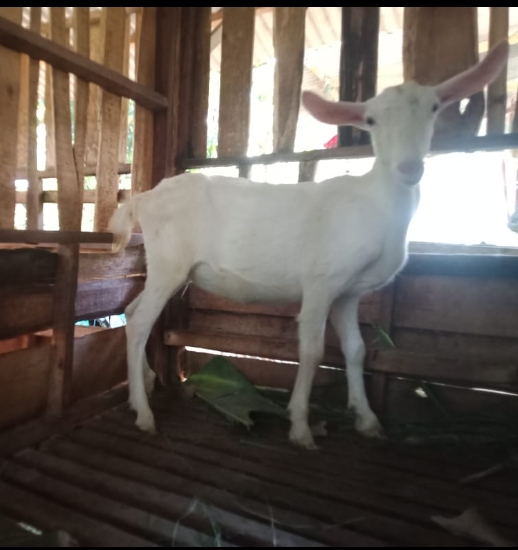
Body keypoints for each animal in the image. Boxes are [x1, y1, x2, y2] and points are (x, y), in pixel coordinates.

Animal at [109, 40, 509, 450]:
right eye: (371, 120)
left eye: (434, 107)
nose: (409, 168)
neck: (376, 204)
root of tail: (143, 197)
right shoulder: (321, 282)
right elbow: (313, 350)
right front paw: (301, 426)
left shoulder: (348, 293)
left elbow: (356, 350)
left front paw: (367, 419)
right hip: (170, 262)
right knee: (139, 322)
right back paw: (144, 413)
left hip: (165, 268)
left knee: (133, 310)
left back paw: (146, 384)